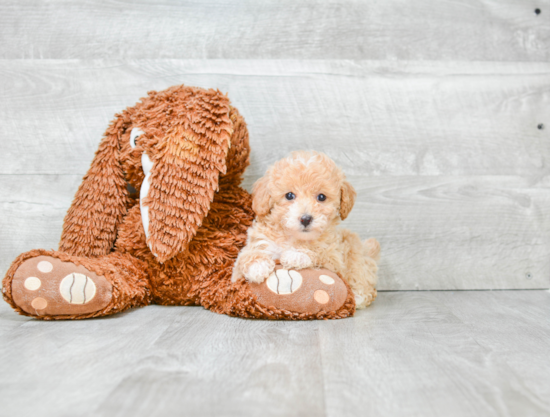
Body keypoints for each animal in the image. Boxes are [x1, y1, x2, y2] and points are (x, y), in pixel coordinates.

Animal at [232, 151, 380, 308]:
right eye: (289, 195)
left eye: (321, 197)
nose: (305, 219)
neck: (292, 237)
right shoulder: (256, 248)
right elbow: (245, 257)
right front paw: (258, 266)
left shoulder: (334, 259)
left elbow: (318, 252)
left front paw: (296, 255)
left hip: (356, 258)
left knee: (365, 284)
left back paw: (357, 297)